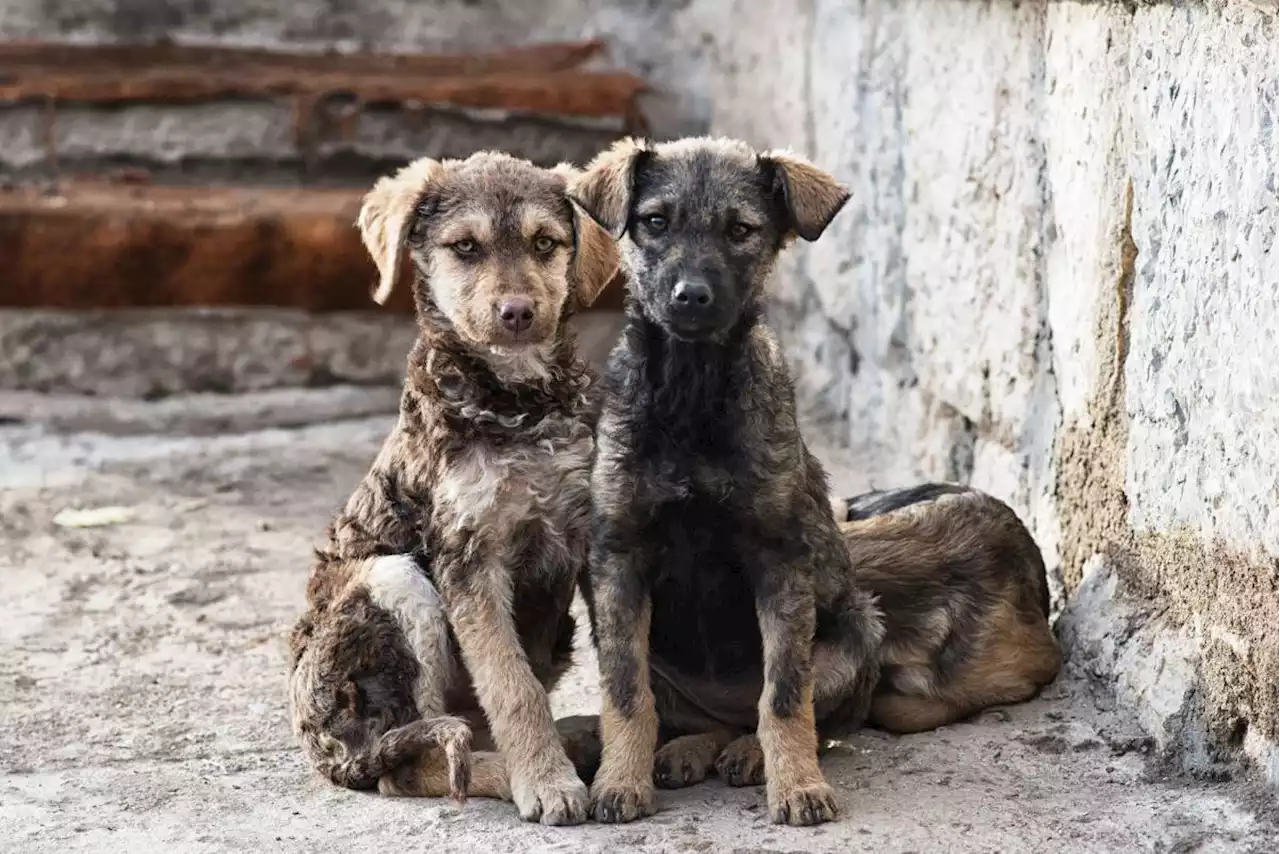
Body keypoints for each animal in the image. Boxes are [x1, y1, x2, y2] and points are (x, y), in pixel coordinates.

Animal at [284, 150, 619, 824]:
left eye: (545, 243)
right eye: (465, 246)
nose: (517, 312)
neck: (518, 404)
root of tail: (328, 754)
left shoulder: (593, 536)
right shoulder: (469, 557)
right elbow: (512, 685)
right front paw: (547, 784)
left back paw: (576, 738)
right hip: (394, 581)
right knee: (412, 764)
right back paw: (521, 770)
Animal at [570, 136, 880, 824]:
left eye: (741, 231)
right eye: (656, 222)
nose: (691, 296)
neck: (691, 393)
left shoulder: (779, 557)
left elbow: (785, 696)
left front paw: (797, 785)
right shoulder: (618, 560)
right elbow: (625, 695)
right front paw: (619, 780)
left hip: (857, 633)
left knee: (777, 711)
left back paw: (748, 754)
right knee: (685, 714)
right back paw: (688, 750)